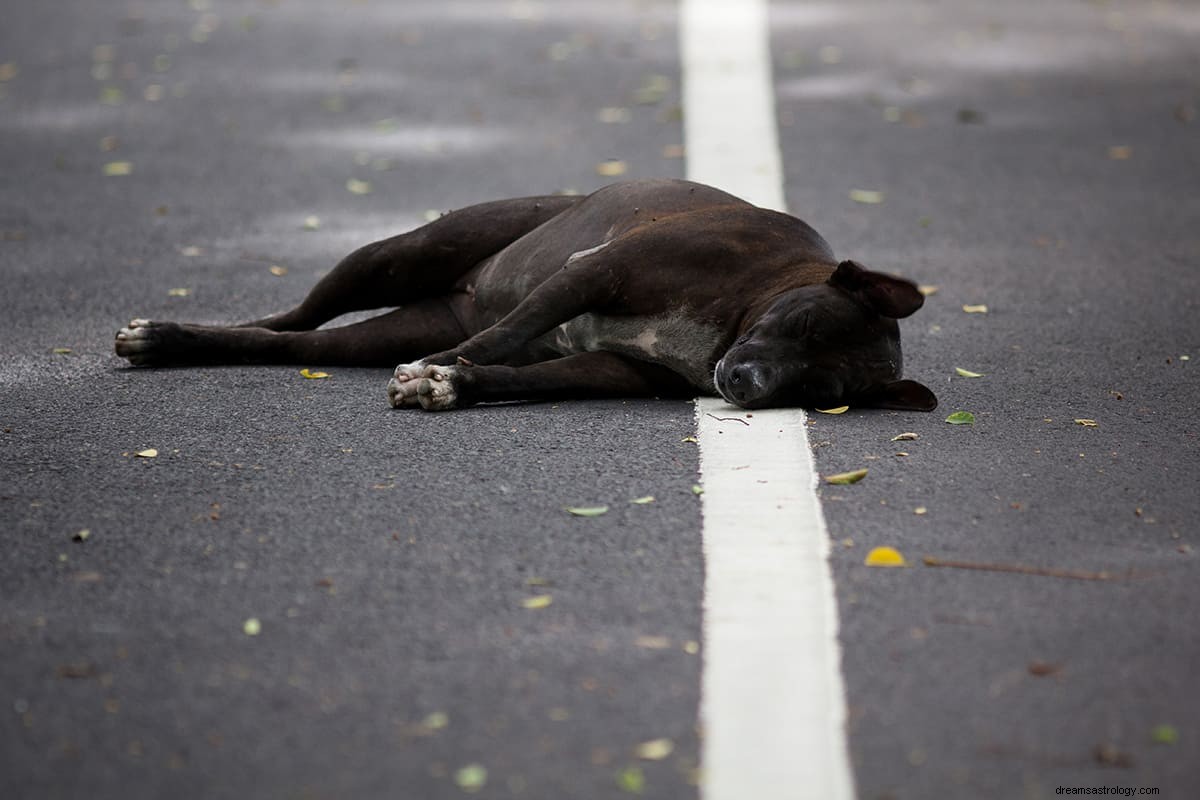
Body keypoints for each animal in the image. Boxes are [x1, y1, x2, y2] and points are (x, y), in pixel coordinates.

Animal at [114, 179, 936, 412]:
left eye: (817, 389)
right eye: (803, 324)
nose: (750, 383)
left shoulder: (618, 370)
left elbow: (519, 370)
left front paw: (453, 384)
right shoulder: (592, 273)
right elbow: (500, 338)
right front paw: (442, 368)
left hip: (383, 323)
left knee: (294, 342)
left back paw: (180, 344)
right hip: (397, 257)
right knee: (290, 316)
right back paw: (169, 334)